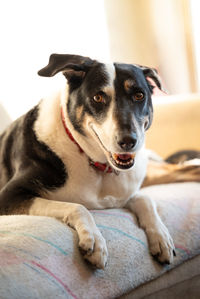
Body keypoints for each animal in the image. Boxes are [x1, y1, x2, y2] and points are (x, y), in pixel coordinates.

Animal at [0, 54, 175, 270]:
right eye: (98, 98)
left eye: (139, 95)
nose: (128, 141)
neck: (93, 160)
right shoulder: (9, 196)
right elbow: (77, 206)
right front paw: (95, 241)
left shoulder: (124, 193)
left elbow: (145, 199)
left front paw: (162, 237)